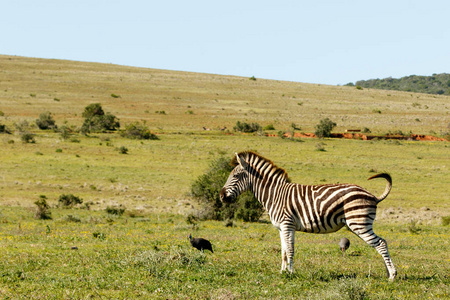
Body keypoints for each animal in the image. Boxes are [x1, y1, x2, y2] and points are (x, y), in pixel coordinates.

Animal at [221, 151, 398, 280]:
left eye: (235, 176)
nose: (221, 196)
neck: (275, 194)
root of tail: (373, 196)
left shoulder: (287, 224)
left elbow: (290, 250)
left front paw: (291, 273)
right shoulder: (281, 228)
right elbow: (283, 251)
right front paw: (282, 272)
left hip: (359, 223)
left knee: (381, 243)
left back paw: (392, 276)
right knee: (381, 243)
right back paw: (387, 273)